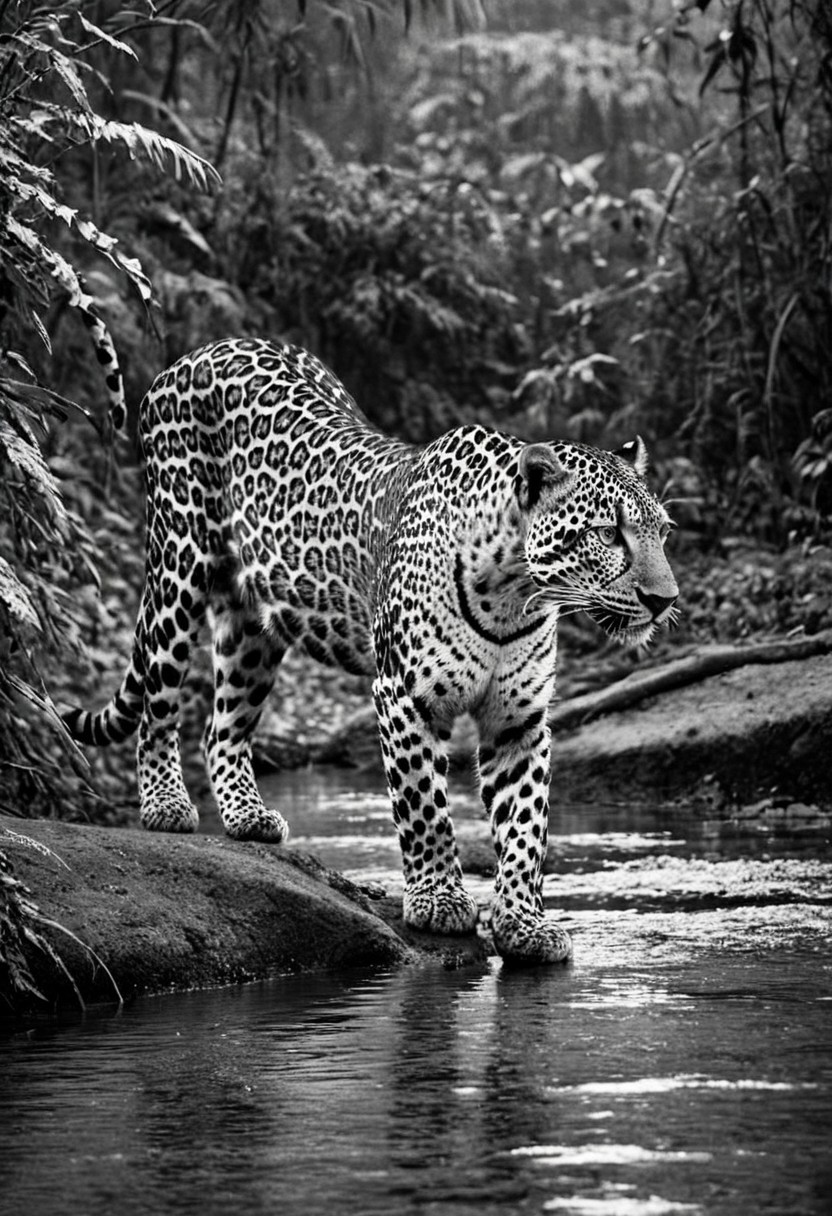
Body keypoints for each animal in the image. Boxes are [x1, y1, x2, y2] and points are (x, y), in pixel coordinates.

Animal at [63, 337, 679, 966]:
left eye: (663, 533)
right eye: (608, 534)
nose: (665, 600)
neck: (514, 592)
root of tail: (197, 352)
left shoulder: (519, 720)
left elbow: (527, 827)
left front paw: (525, 924)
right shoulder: (404, 694)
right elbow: (424, 806)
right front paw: (439, 901)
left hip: (251, 626)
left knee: (221, 726)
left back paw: (248, 816)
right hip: (178, 563)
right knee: (158, 703)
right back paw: (165, 805)